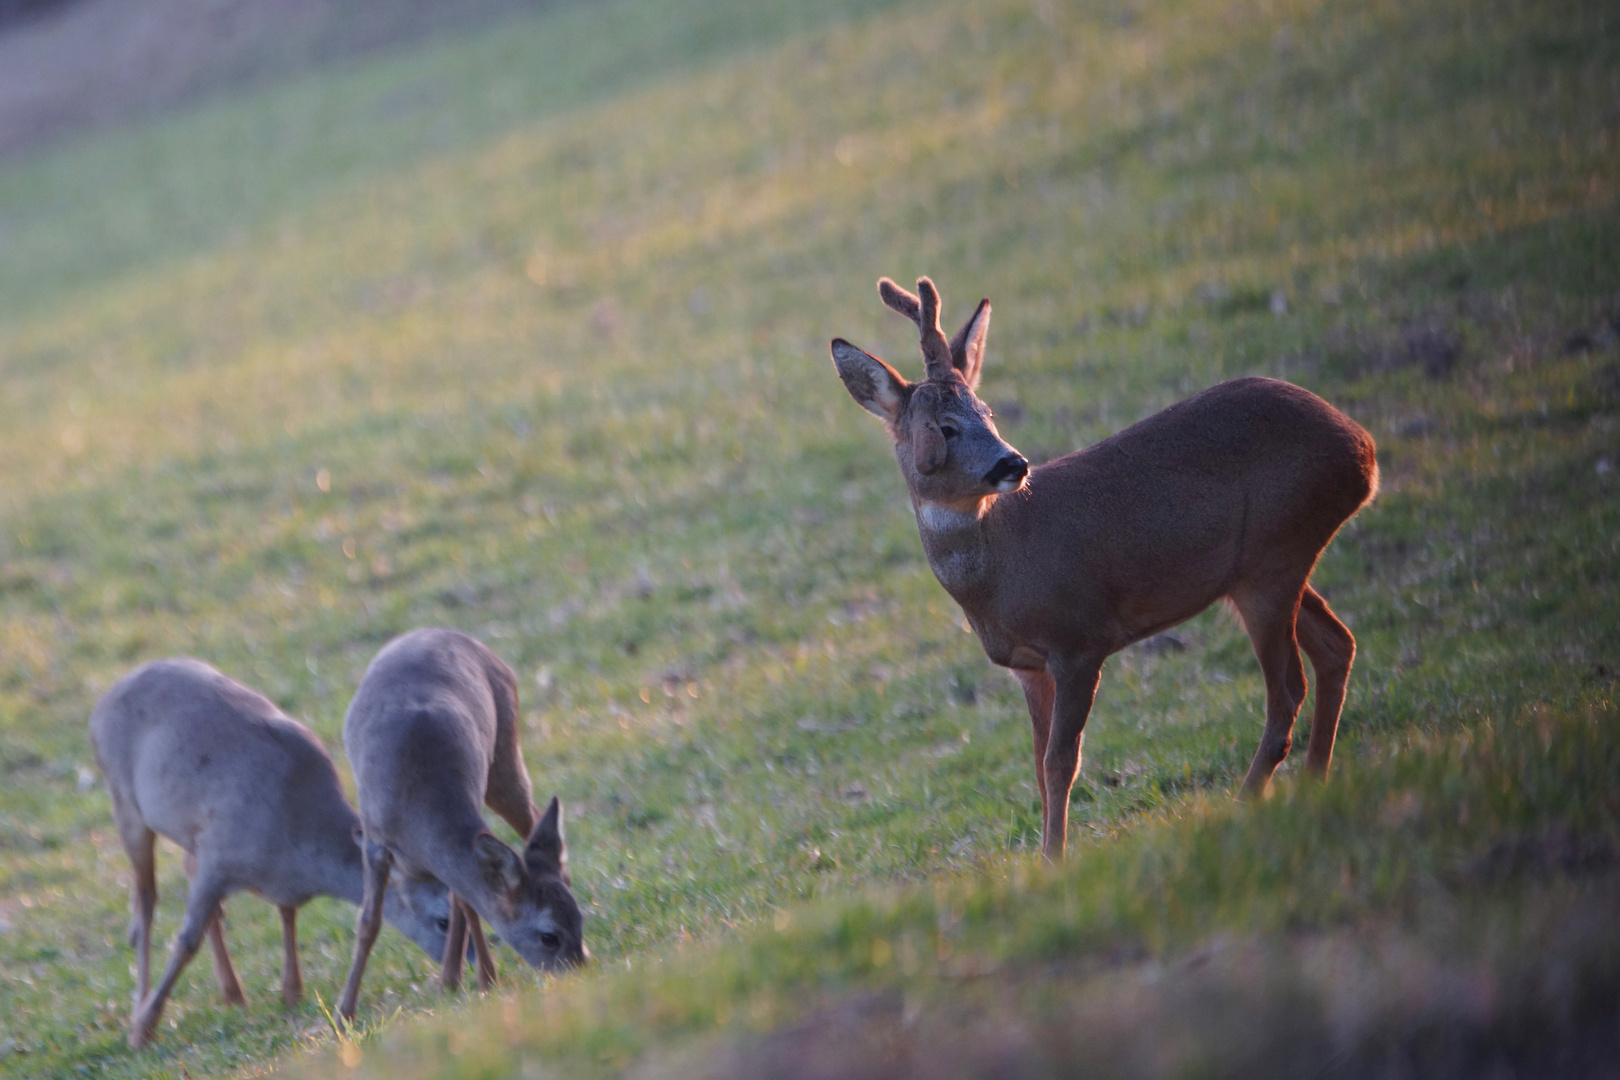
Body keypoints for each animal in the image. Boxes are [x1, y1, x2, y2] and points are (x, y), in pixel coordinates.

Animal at [89, 660, 463, 1049]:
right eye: (443, 921)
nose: (461, 971)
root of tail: (102, 704)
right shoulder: (219, 855)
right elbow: (186, 940)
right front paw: (144, 1027)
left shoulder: (244, 862)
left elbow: (286, 914)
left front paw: (292, 991)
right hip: (123, 797)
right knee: (145, 900)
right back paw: (142, 1008)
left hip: (186, 832)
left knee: (186, 884)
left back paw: (233, 993)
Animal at [333, 625, 583, 1023]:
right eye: (549, 936)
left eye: (579, 920)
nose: (581, 971)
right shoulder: (374, 840)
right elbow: (369, 922)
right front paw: (344, 1013)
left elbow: (465, 903)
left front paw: (487, 980)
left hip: (503, 754)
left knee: (530, 822)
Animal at [835, 276, 1380, 861]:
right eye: (945, 427)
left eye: (988, 412)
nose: (1013, 463)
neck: (1002, 571)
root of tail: (1363, 451)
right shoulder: (1029, 664)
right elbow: (1037, 763)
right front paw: (1044, 855)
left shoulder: (1080, 638)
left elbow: (1060, 762)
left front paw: (1054, 859)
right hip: (1267, 563)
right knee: (1337, 645)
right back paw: (1314, 783)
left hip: (1273, 558)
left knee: (1286, 691)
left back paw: (1246, 803)